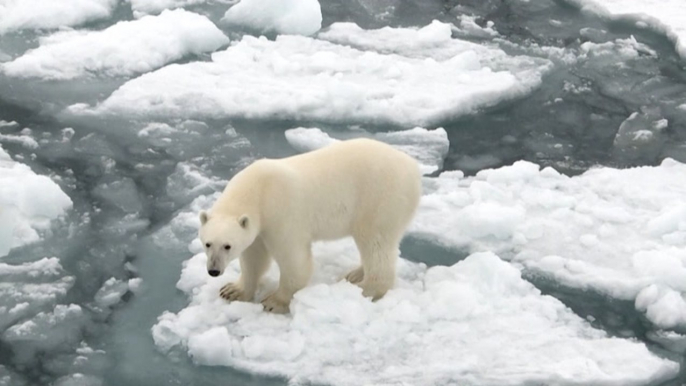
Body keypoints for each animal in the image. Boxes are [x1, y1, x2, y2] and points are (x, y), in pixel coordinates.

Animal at [199, 139, 422, 314]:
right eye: (207, 244)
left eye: (227, 246)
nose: (213, 271)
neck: (257, 189)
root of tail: (413, 167)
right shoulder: (259, 225)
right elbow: (254, 257)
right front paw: (232, 290)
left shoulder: (281, 213)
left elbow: (294, 260)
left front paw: (274, 302)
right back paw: (355, 273)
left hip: (380, 198)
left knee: (375, 242)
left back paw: (366, 288)